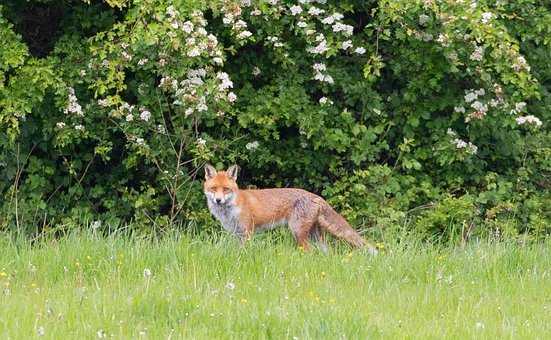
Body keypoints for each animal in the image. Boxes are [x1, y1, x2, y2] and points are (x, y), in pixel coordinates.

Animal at [204, 163, 380, 254]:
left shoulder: (247, 232)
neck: (232, 208)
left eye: (226, 189)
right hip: (316, 236)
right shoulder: (236, 234)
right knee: (326, 252)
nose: (218, 200)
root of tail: (317, 196)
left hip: (298, 232)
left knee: (310, 252)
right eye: (213, 189)